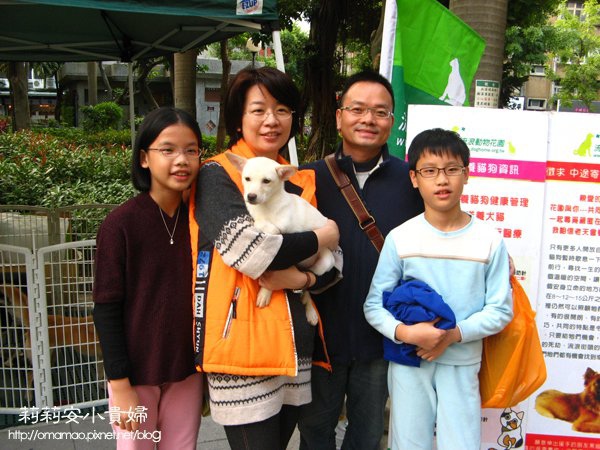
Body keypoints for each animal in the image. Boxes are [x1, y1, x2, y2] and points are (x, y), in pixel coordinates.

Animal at [226, 153, 338, 326]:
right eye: (247, 178)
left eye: (266, 181)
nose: (251, 197)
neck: (267, 206)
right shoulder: (259, 219)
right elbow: (264, 225)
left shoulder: (292, 234)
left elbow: (277, 231)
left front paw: (265, 293)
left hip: (323, 263)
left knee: (307, 283)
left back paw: (310, 310)